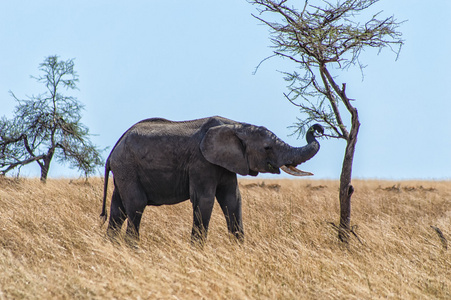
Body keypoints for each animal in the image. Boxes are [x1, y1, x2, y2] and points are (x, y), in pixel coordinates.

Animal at [100, 116, 324, 245]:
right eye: (267, 148)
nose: (318, 129)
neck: (237, 126)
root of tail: (113, 150)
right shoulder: (201, 162)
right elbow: (204, 200)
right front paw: (197, 251)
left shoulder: (228, 163)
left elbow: (233, 200)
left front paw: (238, 250)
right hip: (127, 167)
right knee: (136, 206)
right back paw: (132, 249)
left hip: (124, 171)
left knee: (118, 210)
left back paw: (112, 247)